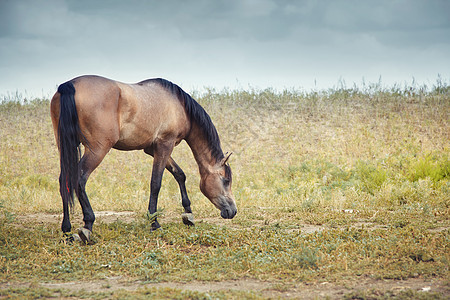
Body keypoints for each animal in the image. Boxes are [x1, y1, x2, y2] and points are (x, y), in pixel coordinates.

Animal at [51, 75, 237, 244]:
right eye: (226, 180)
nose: (233, 211)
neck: (179, 105)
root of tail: (69, 85)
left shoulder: (153, 149)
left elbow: (179, 174)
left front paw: (188, 214)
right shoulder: (165, 145)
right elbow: (156, 183)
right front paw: (154, 222)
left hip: (66, 146)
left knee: (64, 181)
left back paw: (66, 230)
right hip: (97, 149)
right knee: (79, 179)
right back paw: (87, 226)